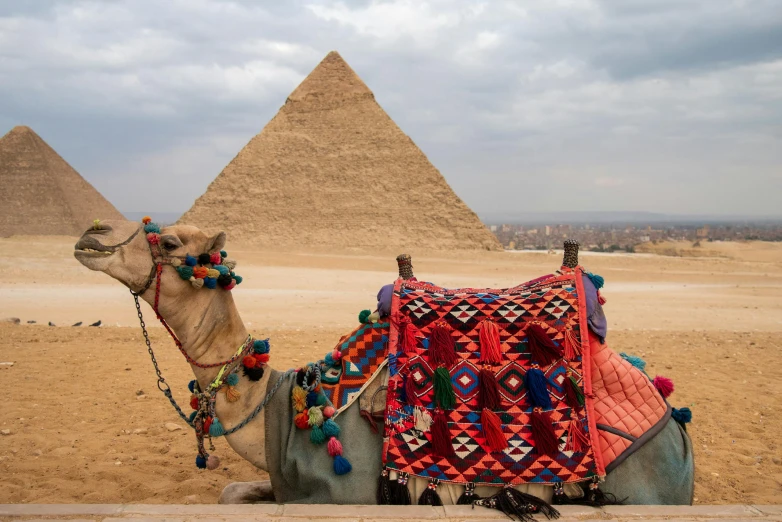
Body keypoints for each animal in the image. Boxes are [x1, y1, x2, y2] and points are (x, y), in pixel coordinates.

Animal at [75, 218, 700, 504]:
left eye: (170, 242)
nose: (93, 234)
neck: (283, 407)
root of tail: (675, 424)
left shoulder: (342, 495)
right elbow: (231, 492)